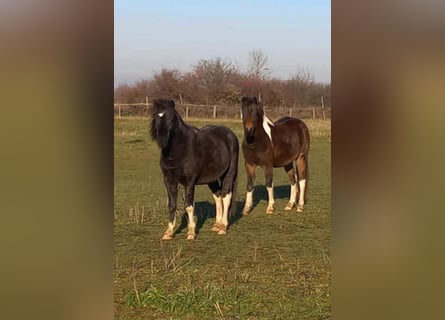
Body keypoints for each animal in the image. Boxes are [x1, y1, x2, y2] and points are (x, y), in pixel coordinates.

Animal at [150, 99, 239, 239]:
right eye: (155, 117)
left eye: (172, 119)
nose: (162, 141)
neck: (181, 149)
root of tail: (230, 135)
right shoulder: (169, 181)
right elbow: (172, 205)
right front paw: (168, 233)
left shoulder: (189, 181)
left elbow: (189, 205)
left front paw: (191, 233)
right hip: (212, 178)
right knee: (218, 196)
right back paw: (217, 225)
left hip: (229, 173)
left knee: (226, 196)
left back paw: (223, 228)